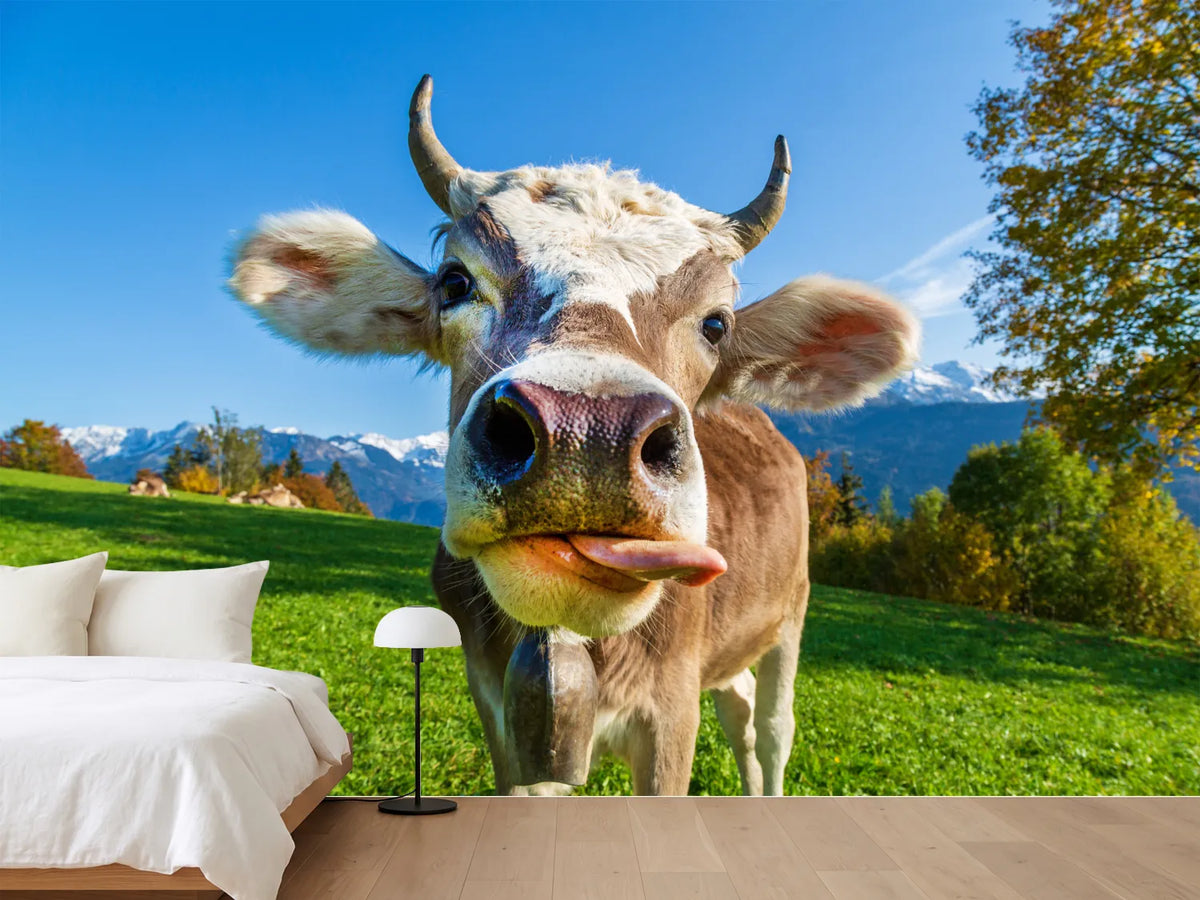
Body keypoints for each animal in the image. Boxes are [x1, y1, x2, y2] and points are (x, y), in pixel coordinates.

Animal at [229, 76, 919, 796]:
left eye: (717, 324)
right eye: (454, 282)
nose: (587, 434)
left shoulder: (672, 709)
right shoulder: (497, 706)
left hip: (792, 610)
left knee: (773, 727)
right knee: (741, 708)